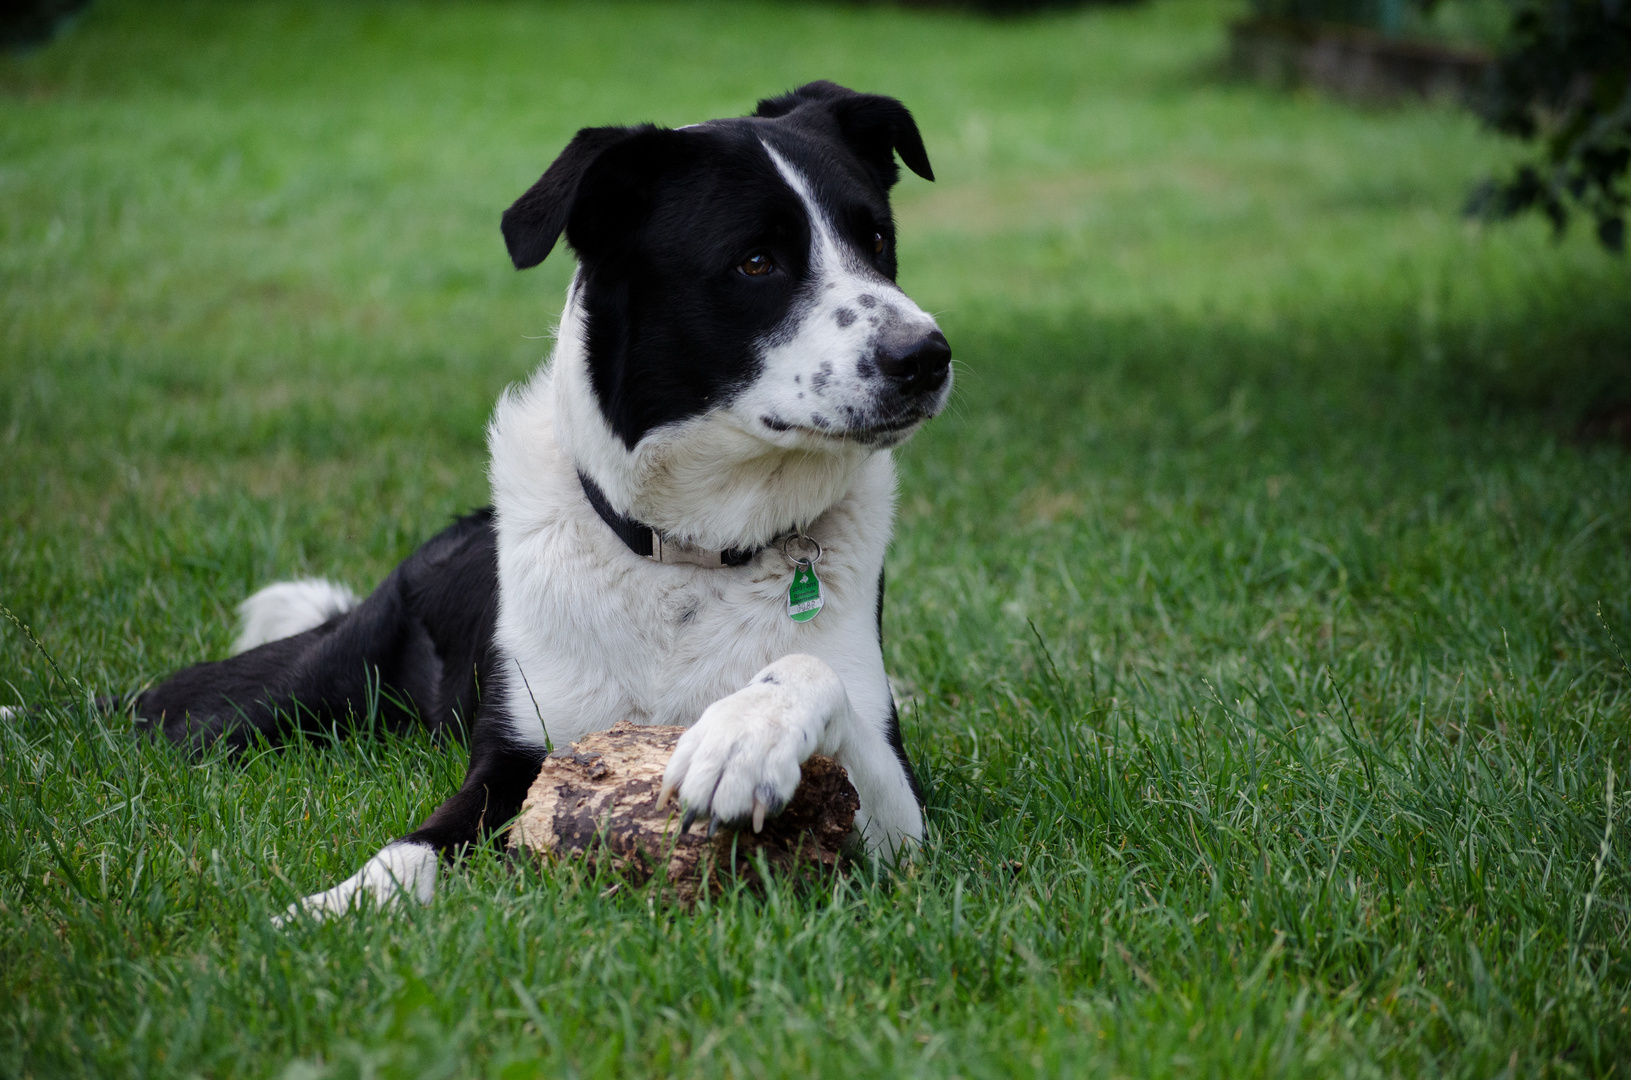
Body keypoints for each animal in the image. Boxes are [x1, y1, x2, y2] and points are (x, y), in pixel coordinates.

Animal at [133, 80, 952, 920]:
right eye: (756, 262)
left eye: (877, 240)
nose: (924, 357)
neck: (686, 556)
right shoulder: (515, 755)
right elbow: (416, 845)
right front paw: (339, 906)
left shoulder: (900, 819)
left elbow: (811, 673)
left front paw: (744, 735)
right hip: (246, 703)